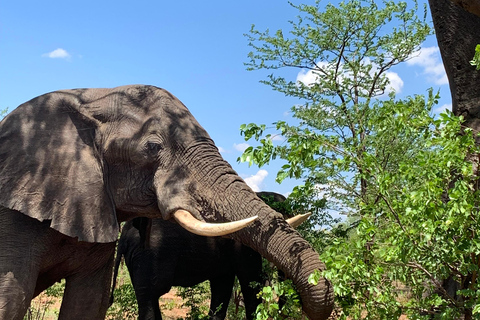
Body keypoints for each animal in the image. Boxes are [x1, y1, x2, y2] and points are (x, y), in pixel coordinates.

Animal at [110, 191, 294, 318]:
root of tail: (124, 235)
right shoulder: (242, 243)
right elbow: (250, 280)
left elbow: (222, 287)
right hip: (150, 254)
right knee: (149, 295)